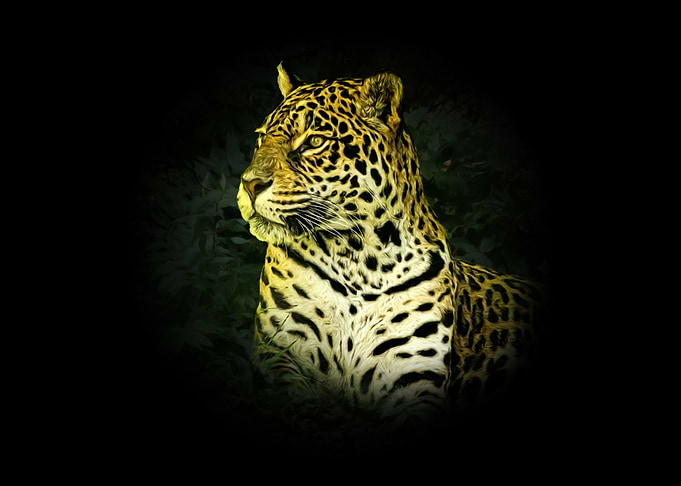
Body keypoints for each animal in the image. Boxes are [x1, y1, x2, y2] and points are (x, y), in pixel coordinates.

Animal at [236, 63, 544, 425]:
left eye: (314, 141)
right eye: (261, 137)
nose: (250, 184)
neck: (357, 258)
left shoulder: (412, 376)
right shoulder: (281, 353)